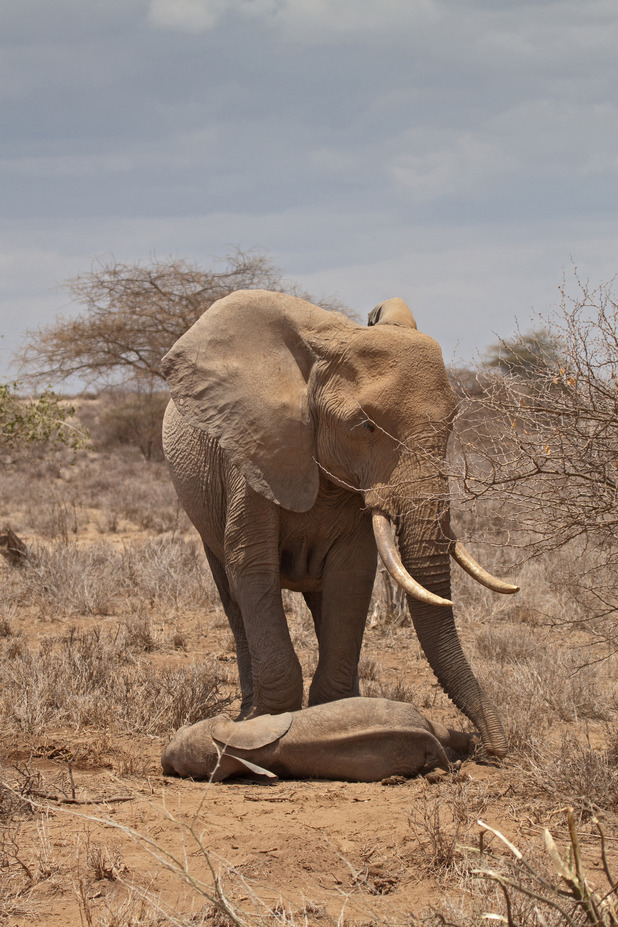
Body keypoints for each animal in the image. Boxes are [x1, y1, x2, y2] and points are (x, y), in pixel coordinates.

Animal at [161, 292, 516, 760]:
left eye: (453, 422)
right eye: (366, 425)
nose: (491, 749)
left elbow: (352, 574)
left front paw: (337, 711)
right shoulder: (252, 454)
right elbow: (252, 566)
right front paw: (268, 719)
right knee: (231, 595)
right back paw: (248, 709)